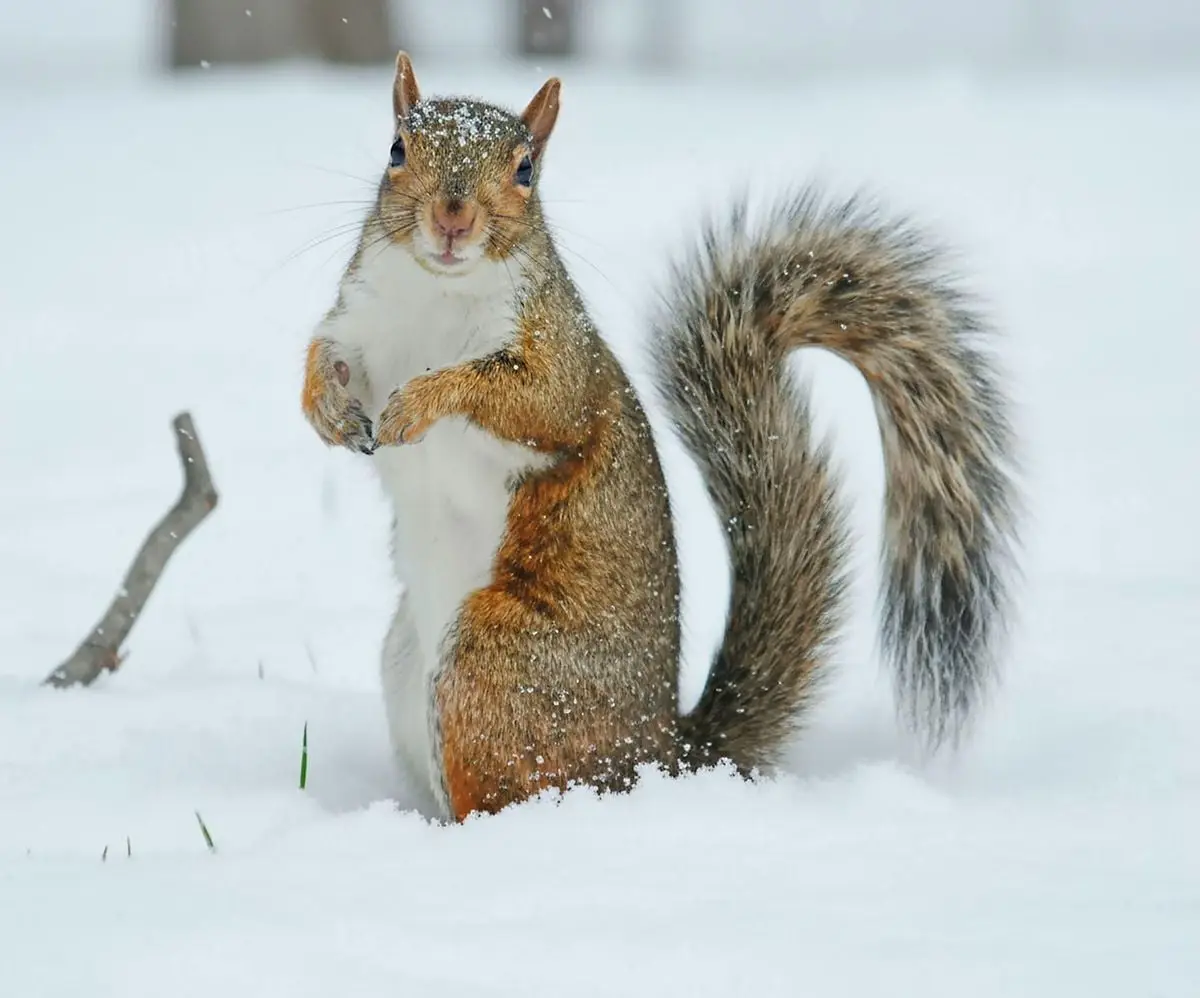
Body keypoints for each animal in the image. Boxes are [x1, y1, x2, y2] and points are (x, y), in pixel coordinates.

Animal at [301, 53, 1020, 823]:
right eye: (396, 149)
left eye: (526, 169)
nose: (452, 218)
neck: (434, 293)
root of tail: (658, 759)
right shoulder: (363, 325)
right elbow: (323, 357)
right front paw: (326, 410)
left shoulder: (561, 362)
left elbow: (531, 400)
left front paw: (421, 401)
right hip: (407, 663)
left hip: (496, 665)